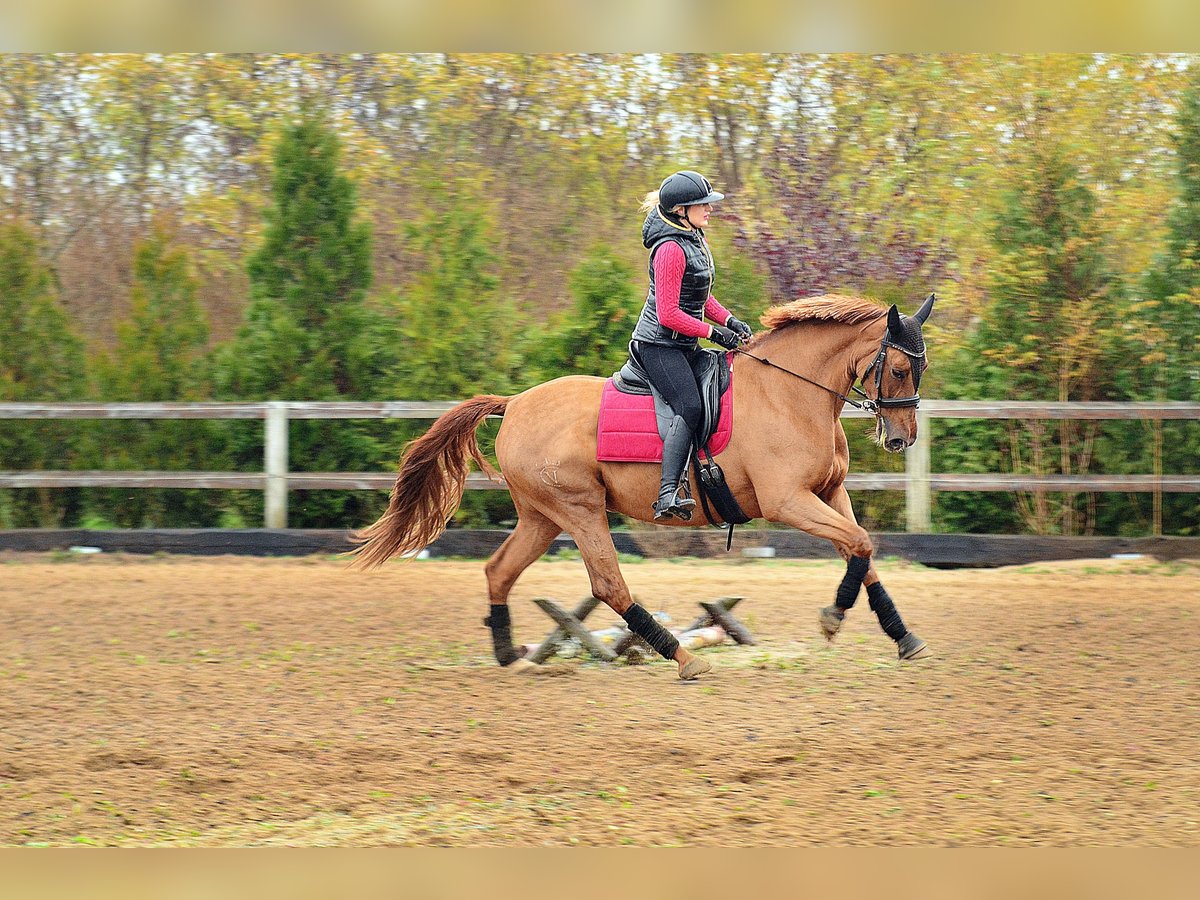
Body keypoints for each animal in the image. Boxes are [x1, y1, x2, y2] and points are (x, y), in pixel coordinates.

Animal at [350, 292, 936, 681]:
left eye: (919, 368)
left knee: (499, 570)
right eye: (900, 369)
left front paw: (903, 637)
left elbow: (863, 552)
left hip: (542, 518)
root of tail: (513, 404)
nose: (901, 439)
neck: (789, 393)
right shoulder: (789, 501)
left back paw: (507, 654)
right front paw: (833, 617)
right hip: (581, 510)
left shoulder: (830, 493)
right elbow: (859, 544)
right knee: (609, 585)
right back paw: (683, 657)